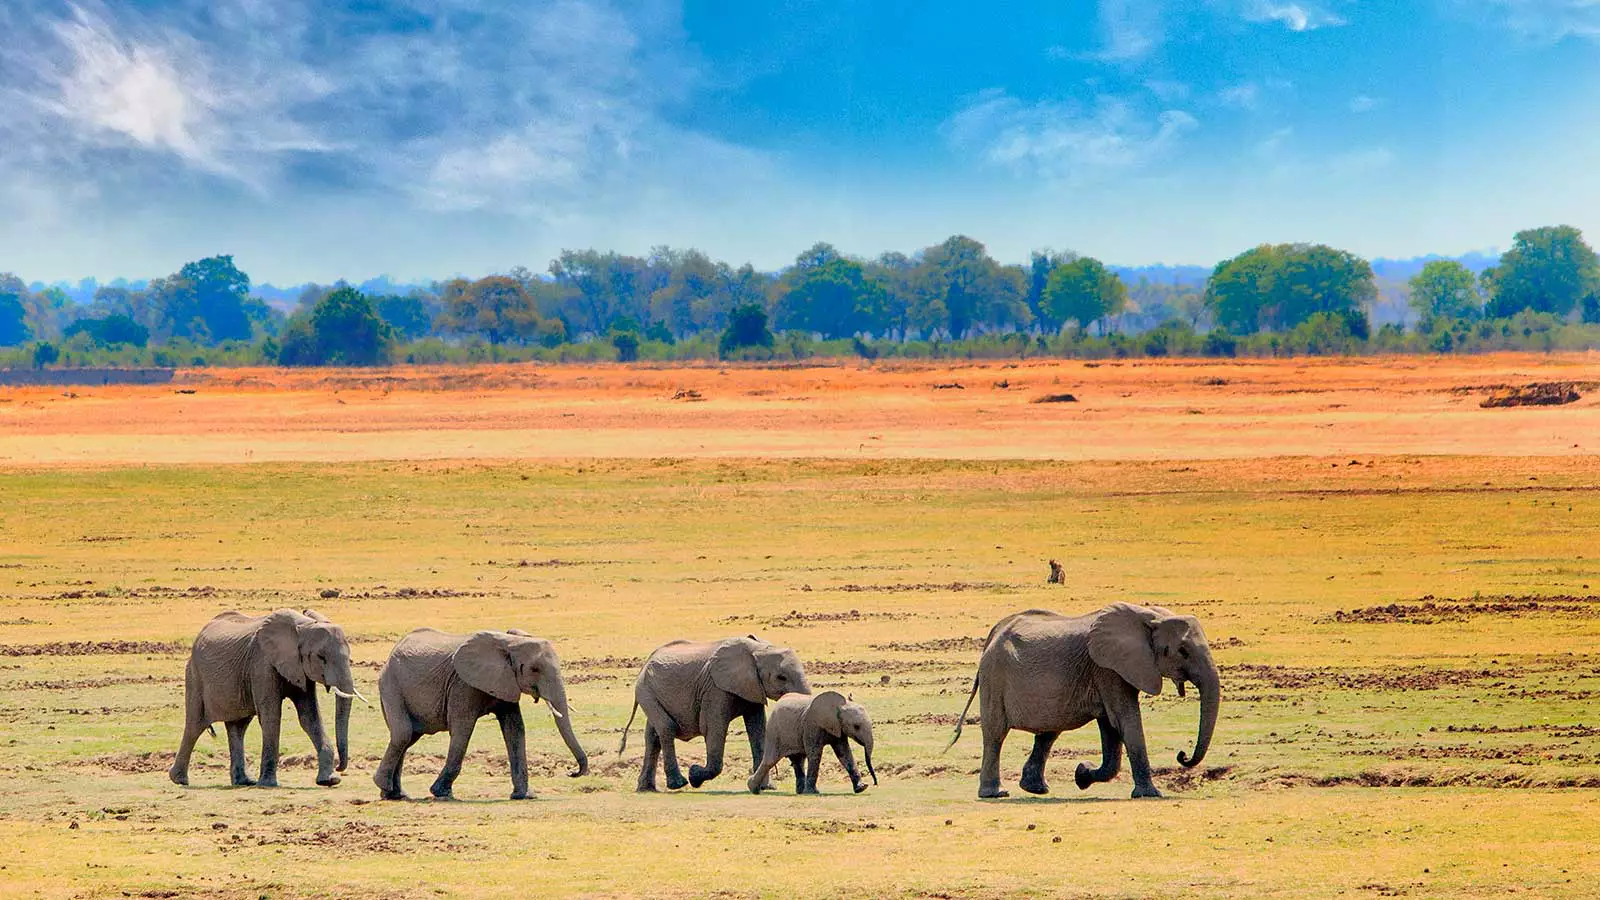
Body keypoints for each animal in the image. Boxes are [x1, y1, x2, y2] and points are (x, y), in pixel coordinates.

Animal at [168, 605, 363, 787]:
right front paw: (268, 784)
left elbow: (309, 717)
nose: (340, 767)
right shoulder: (262, 663)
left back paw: (244, 781)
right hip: (194, 676)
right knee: (195, 725)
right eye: (321, 657)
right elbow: (271, 716)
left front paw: (329, 780)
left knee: (238, 727)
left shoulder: (299, 669)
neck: (303, 627)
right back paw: (179, 780)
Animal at [372, 624, 588, 797]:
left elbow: (515, 729)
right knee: (403, 734)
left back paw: (394, 794)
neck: (510, 643)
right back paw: (387, 788)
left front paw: (524, 796)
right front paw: (441, 793)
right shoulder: (462, 684)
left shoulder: (505, 681)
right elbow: (462, 729)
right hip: (390, 685)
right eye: (535, 669)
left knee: (408, 738)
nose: (572, 772)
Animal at [614, 634, 806, 787]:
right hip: (646, 690)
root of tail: (646, 662)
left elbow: (757, 730)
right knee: (666, 728)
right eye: (781, 677)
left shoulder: (752, 688)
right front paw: (694, 775)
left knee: (653, 736)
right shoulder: (715, 689)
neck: (757, 650)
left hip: (651, 691)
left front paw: (766, 787)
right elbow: (714, 729)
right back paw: (678, 784)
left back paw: (646, 788)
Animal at [745, 685, 876, 791]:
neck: (839, 705)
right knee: (770, 760)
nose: (875, 783)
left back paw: (799, 792)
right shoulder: (812, 725)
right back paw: (753, 788)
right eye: (856, 726)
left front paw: (861, 788)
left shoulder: (838, 728)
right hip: (774, 731)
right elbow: (815, 754)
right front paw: (813, 793)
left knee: (798, 761)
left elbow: (844, 753)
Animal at [947, 602, 1222, 797]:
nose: (1182, 755)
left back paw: (1035, 789)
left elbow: (1112, 727)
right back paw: (995, 793)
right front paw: (1151, 795)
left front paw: (1082, 775)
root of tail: (993, 633)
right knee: (996, 734)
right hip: (994, 676)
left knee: (1049, 731)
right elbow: (1125, 719)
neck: (1149, 616)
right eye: (1183, 651)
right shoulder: (1107, 669)